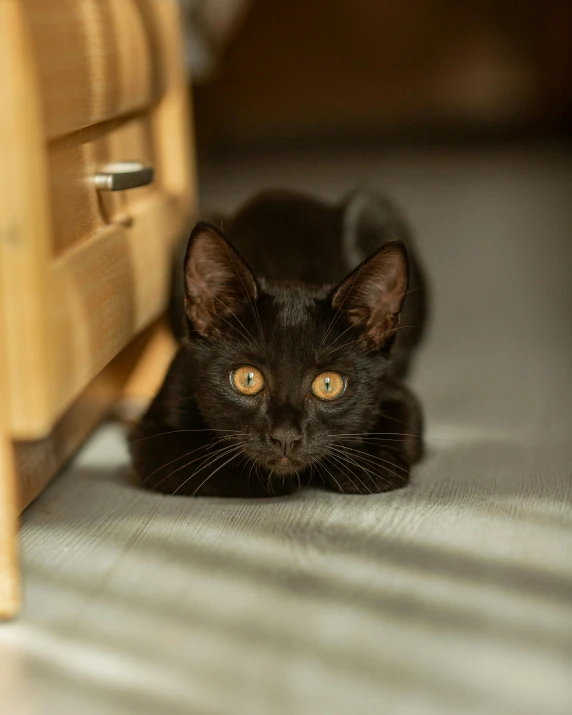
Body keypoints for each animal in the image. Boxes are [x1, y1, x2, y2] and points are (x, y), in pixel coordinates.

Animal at [131, 187, 428, 496]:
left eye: (328, 384)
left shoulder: (397, 393)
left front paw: (368, 464)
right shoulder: (152, 435)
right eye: (247, 379)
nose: (285, 437)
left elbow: (403, 420)